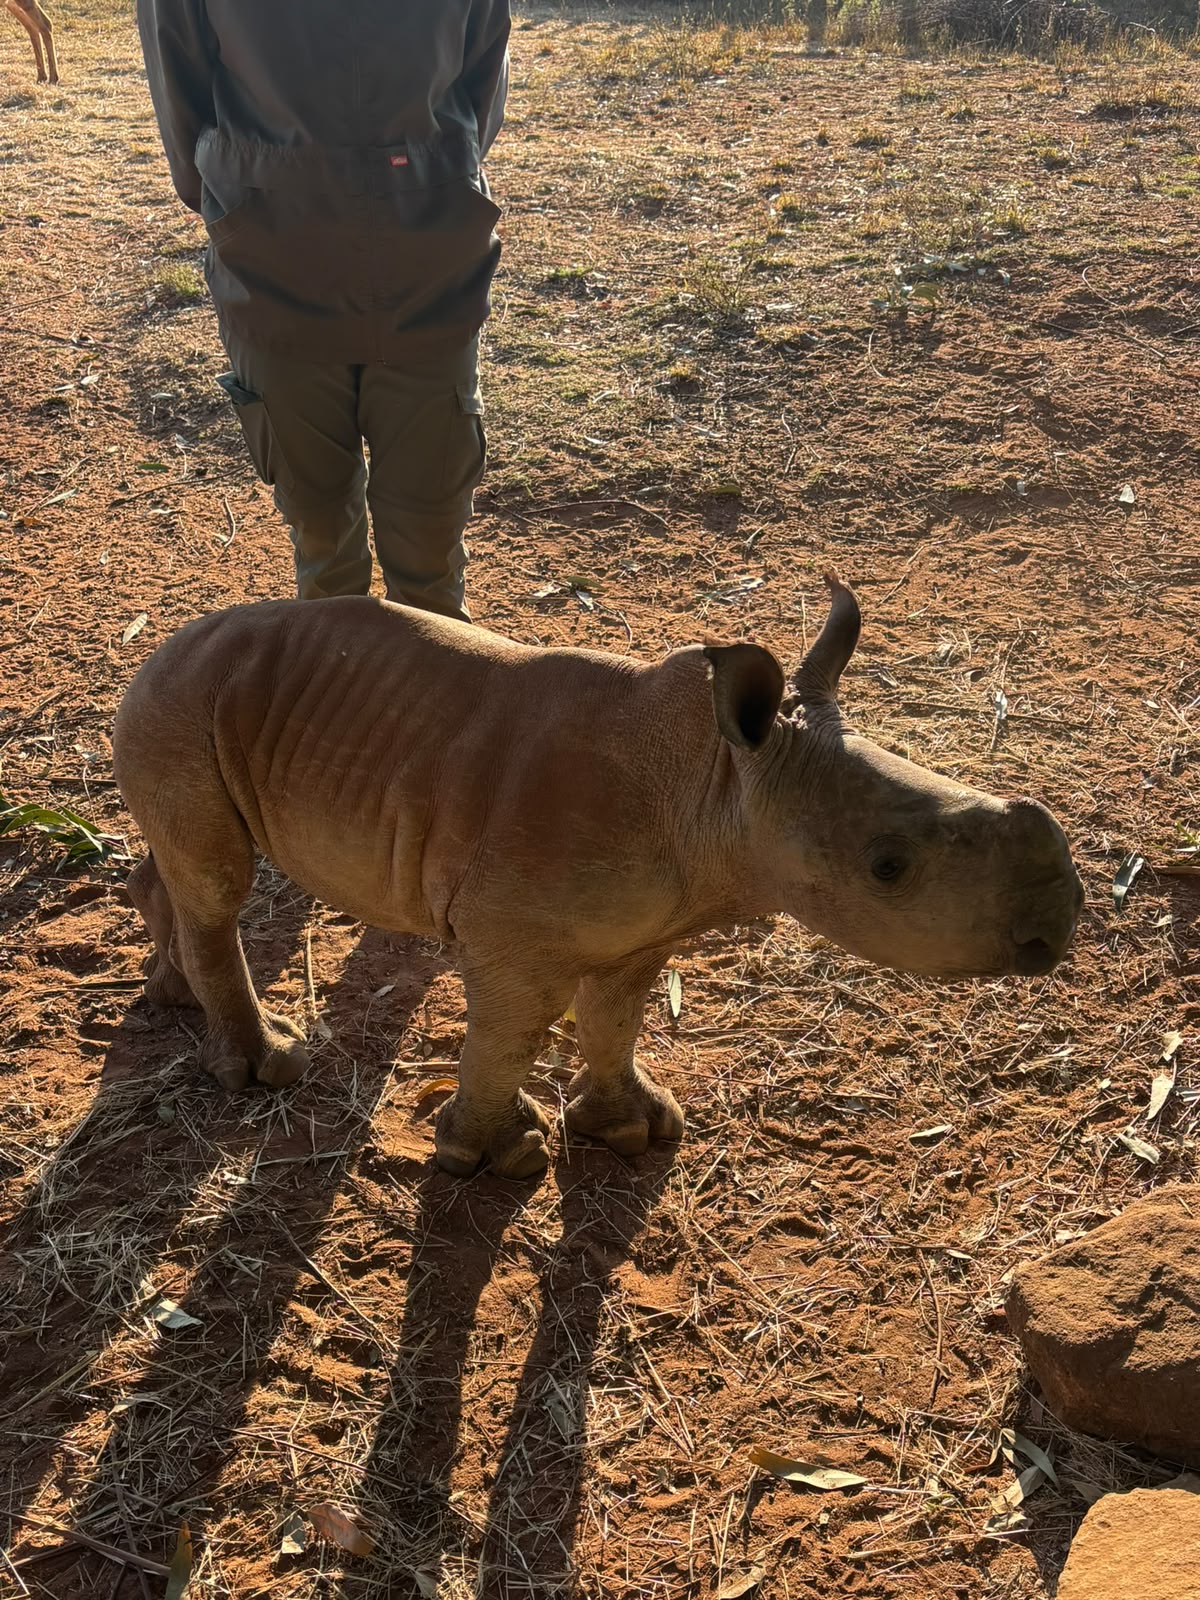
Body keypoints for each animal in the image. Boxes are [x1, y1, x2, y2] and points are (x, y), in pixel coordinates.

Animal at [112, 578, 1083, 1180]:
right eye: (888, 867)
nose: (1060, 924)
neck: (717, 781)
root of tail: (160, 646)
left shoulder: (648, 926)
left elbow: (617, 1018)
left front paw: (634, 1131)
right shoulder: (514, 938)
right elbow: (512, 1033)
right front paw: (493, 1161)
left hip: (203, 703)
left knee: (186, 870)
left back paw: (172, 997)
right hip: (180, 703)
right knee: (220, 881)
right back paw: (265, 1067)